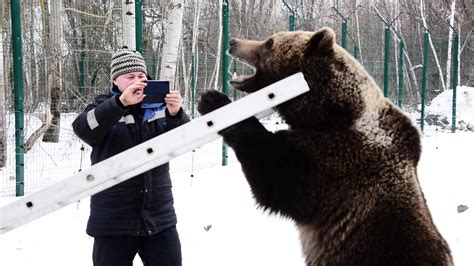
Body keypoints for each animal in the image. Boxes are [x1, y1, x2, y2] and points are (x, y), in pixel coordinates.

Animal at [196, 27, 452, 266]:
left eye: (269, 43)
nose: (233, 41)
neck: (328, 112)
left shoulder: (334, 162)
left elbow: (275, 176)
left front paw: (213, 101)